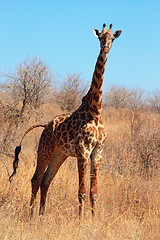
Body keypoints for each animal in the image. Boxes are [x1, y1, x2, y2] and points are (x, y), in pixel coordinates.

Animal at [10, 23, 121, 218]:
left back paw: (42, 215)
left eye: (112, 38)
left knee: (46, 180)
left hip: (60, 154)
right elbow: (81, 192)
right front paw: (80, 221)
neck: (96, 112)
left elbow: (94, 192)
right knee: (36, 179)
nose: (106, 47)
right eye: (100, 37)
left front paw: (93, 219)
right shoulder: (83, 151)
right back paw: (30, 215)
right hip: (45, 148)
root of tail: (46, 126)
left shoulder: (97, 152)